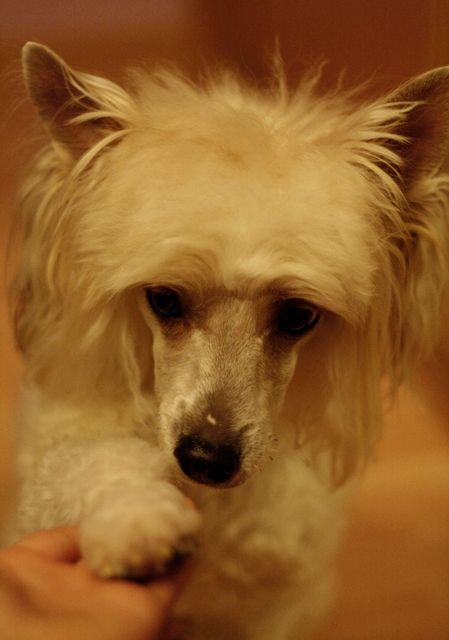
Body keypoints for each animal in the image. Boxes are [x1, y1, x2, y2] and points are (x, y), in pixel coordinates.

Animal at [10, 42, 449, 639]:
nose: (205, 459)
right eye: (163, 299)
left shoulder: (270, 609)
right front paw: (135, 522)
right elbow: (94, 463)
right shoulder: (57, 465)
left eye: (300, 315)